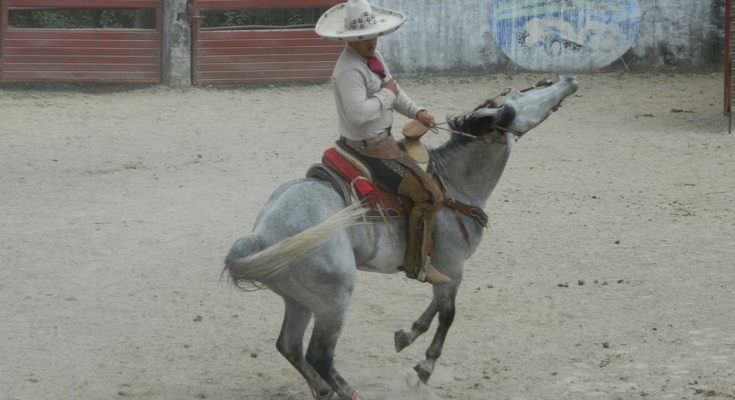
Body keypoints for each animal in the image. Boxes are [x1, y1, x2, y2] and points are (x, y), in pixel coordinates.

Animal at [224, 76, 580, 398]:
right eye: (521, 98)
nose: (567, 79)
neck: (455, 187)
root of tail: (263, 235)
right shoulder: (453, 264)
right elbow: (448, 314)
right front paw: (425, 366)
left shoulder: (441, 268)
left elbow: (436, 306)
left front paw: (407, 336)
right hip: (333, 300)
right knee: (318, 355)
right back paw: (348, 392)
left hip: (298, 300)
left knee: (289, 346)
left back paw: (322, 390)